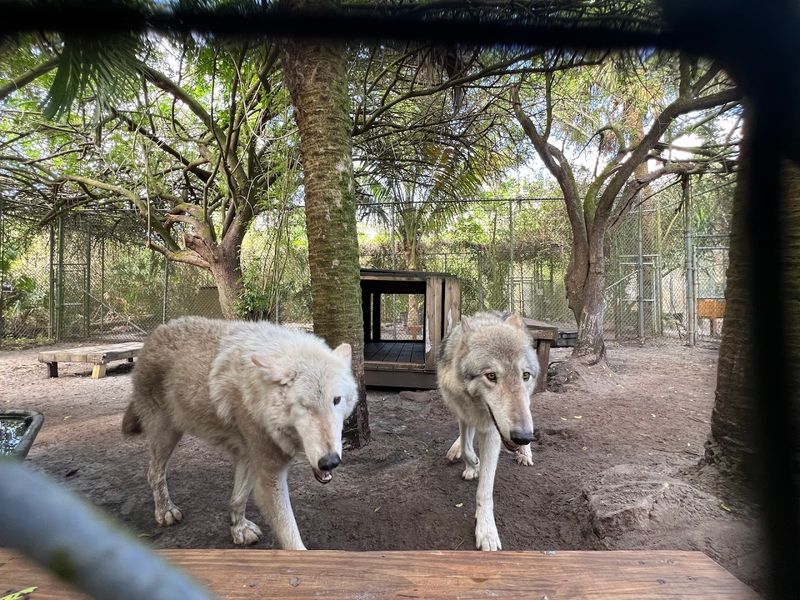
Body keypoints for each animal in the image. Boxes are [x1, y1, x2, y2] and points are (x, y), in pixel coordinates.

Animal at [122, 316, 358, 550]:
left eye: (336, 400)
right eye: (304, 405)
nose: (330, 461)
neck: (260, 398)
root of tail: (157, 331)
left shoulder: (248, 456)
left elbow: (238, 498)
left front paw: (239, 529)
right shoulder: (269, 474)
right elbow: (291, 537)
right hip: (166, 434)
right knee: (154, 474)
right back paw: (165, 511)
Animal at [437, 311, 538, 551]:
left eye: (525, 375)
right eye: (491, 376)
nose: (523, 437)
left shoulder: (493, 432)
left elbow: (485, 491)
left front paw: (487, 532)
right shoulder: (463, 415)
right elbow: (467, 447)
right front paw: (472, 464)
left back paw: (525, 453)